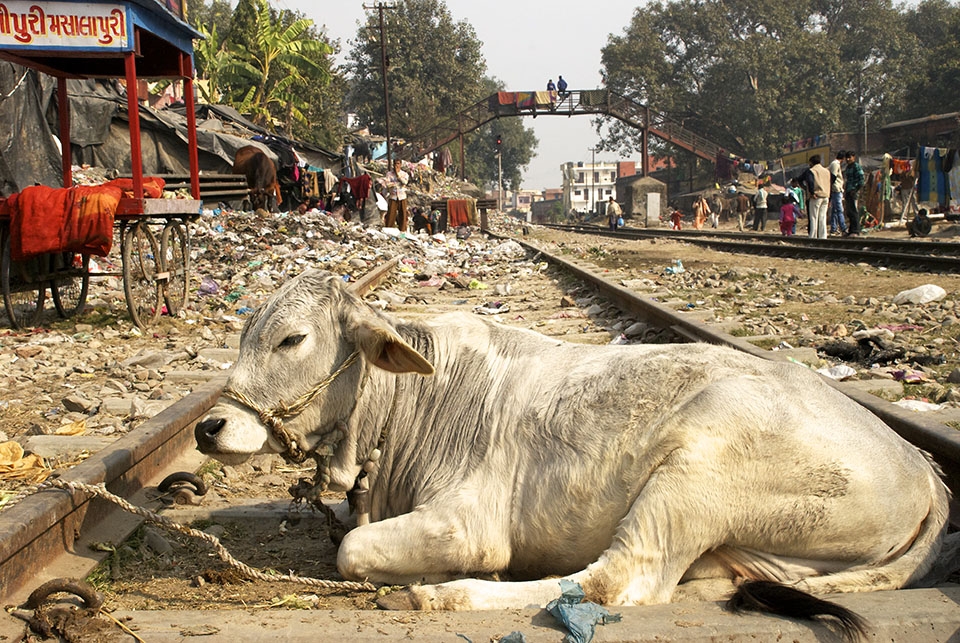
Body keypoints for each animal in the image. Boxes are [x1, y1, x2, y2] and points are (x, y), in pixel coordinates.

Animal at [194, 270, 950, 633]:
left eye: (292, 339)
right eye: (243, 334)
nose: (207, 428)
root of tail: (925, 468)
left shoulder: (468, 521)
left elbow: (351, 549)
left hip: (694, 472)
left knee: (620, 578)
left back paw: (444, 594)